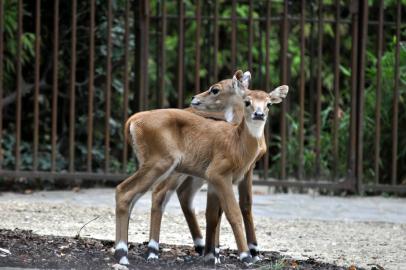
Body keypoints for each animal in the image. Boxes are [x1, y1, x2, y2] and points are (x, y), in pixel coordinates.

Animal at [114, 70, 288, 266]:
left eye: (268, 103)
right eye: (247, 101)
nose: (259, 114)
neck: (237, 141)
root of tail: (133, 120)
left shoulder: (225, 177)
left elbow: (218, 213)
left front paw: (213, 254)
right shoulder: (218, 174)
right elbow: (233, 212)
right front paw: (245, 256)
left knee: (153, 195)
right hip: (162, 164)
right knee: (131, 191)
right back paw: (130, 253)